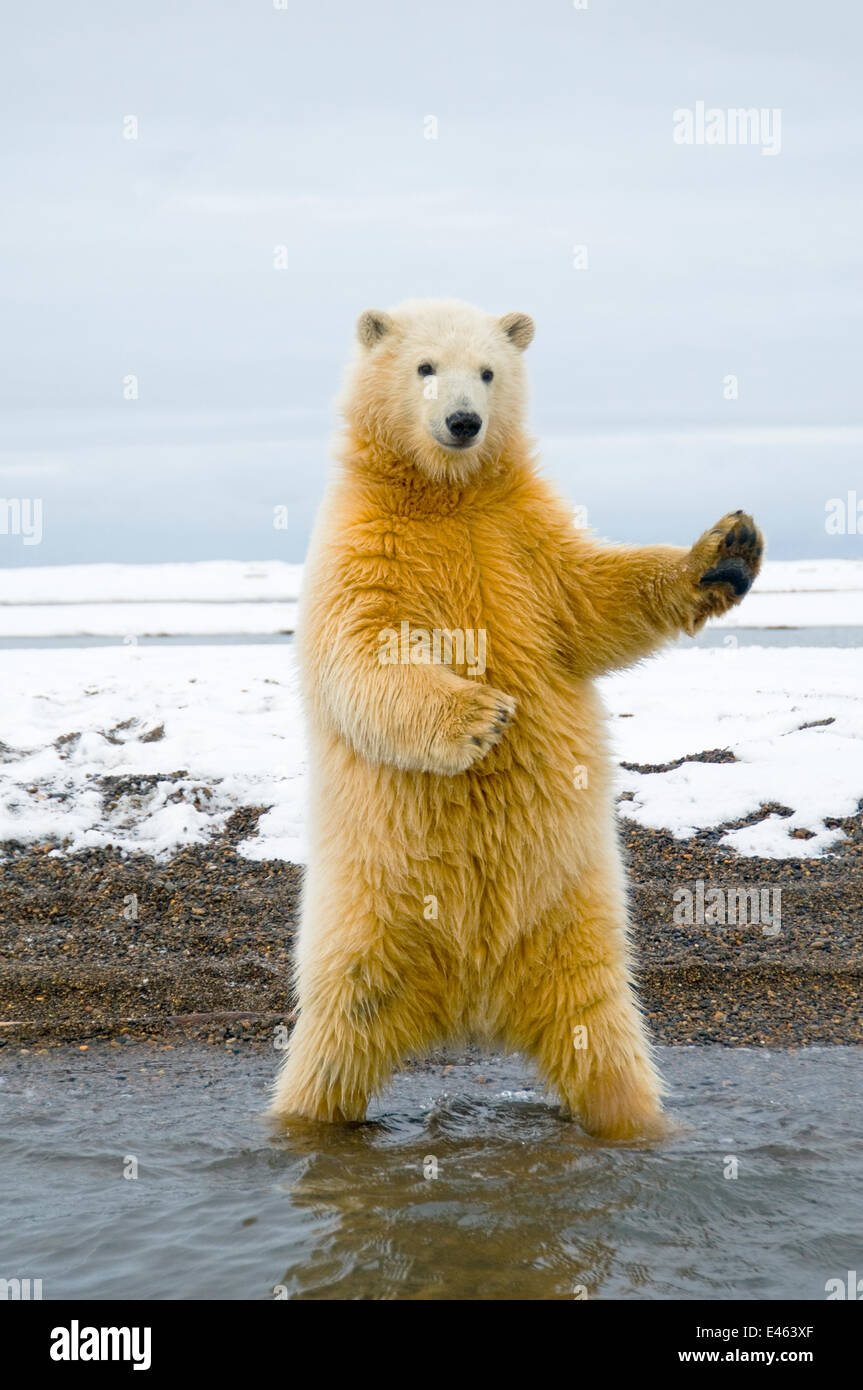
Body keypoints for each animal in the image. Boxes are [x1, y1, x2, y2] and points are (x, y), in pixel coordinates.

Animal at [269, 298, 761, 1134]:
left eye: (489, 370)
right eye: (424, 366)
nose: (464, 421)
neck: (446, 493)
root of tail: (472, 1002)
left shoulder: (522, 541)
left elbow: (596, 597)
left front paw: (727, 549)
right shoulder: (363, 547)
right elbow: (362, 652)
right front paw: (481, 716)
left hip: (571, 923)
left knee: (602, 1043)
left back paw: (638, 1123)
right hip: (365, 919)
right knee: (335, 1041)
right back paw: (299, 1117)